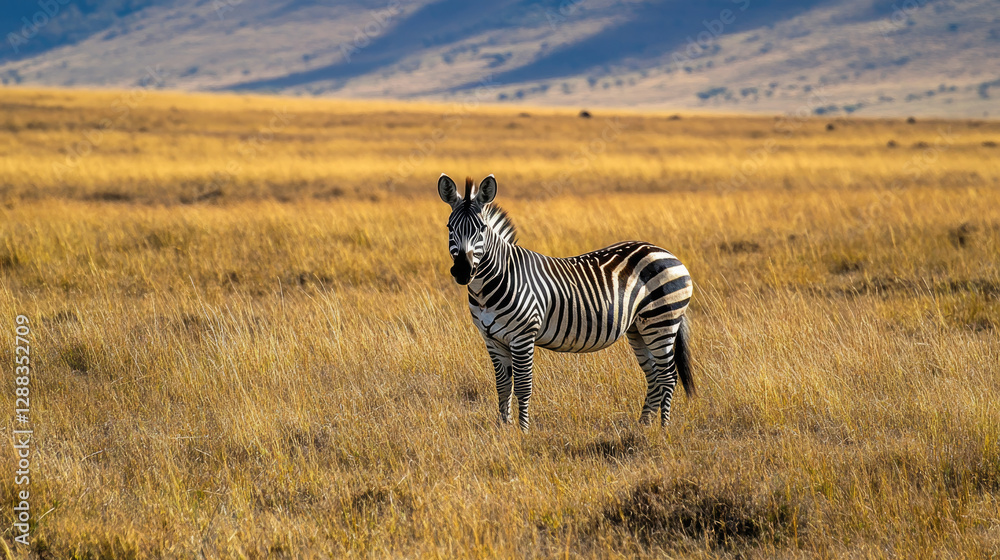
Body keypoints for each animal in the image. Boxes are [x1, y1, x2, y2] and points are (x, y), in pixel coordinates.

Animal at [439, 174, 695, 431]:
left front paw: (523, 432)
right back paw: (643, 425)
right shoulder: (491, 339)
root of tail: (666, 252)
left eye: (481, 229)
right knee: (653, 375)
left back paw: (663, 429)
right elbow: (502, 387)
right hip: (638, 328)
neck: (491, 286)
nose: (462, 271)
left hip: (661, 320)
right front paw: (504, 429)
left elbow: (522, 386)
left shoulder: (523, 336)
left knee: (668, 377)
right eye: (450, 227)